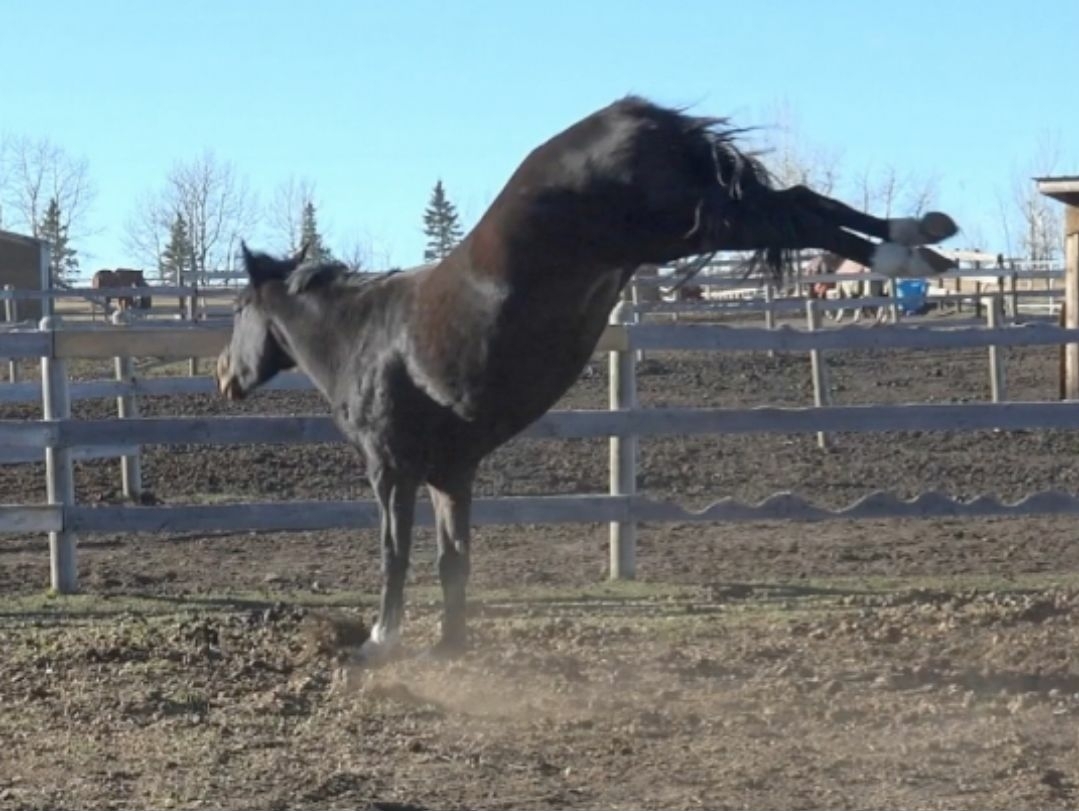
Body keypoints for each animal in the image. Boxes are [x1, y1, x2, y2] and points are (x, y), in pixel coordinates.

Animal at [214, 96, 958, 663]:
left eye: (238, 308)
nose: (224, 375)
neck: (367, 337)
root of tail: (636, 114)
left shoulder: (390, 468)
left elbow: (393, 554)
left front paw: (380, 641)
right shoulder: (451, 472)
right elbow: (453, 560)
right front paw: (450, 646)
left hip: (680, 229)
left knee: (791, 212)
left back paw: (903, 251)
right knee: (798, 200)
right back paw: (924, 237)